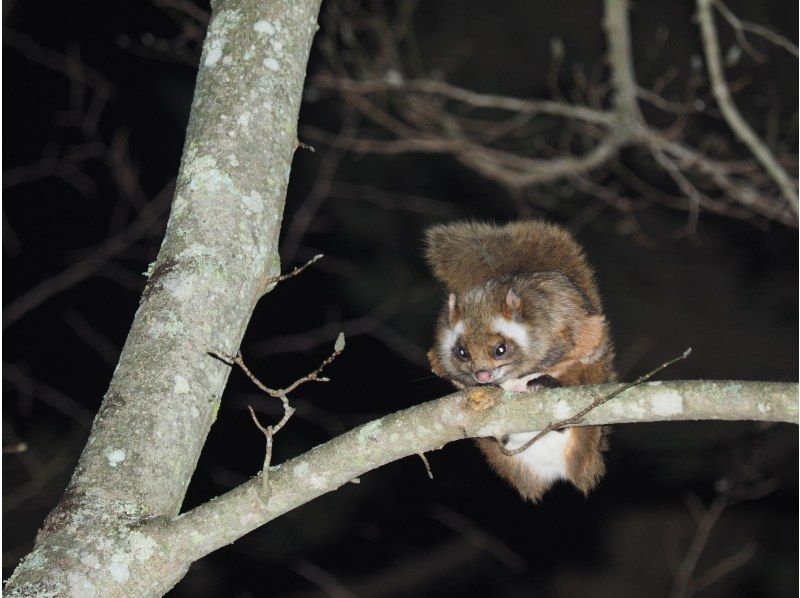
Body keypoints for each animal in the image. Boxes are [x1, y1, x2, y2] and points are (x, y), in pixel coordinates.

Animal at [424, 220, 620, 502]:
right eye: (463, 353)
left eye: (500, 349)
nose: (482, 376)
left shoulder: (573, 329)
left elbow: (579, 347)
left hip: (593, 374)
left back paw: (545, 386)